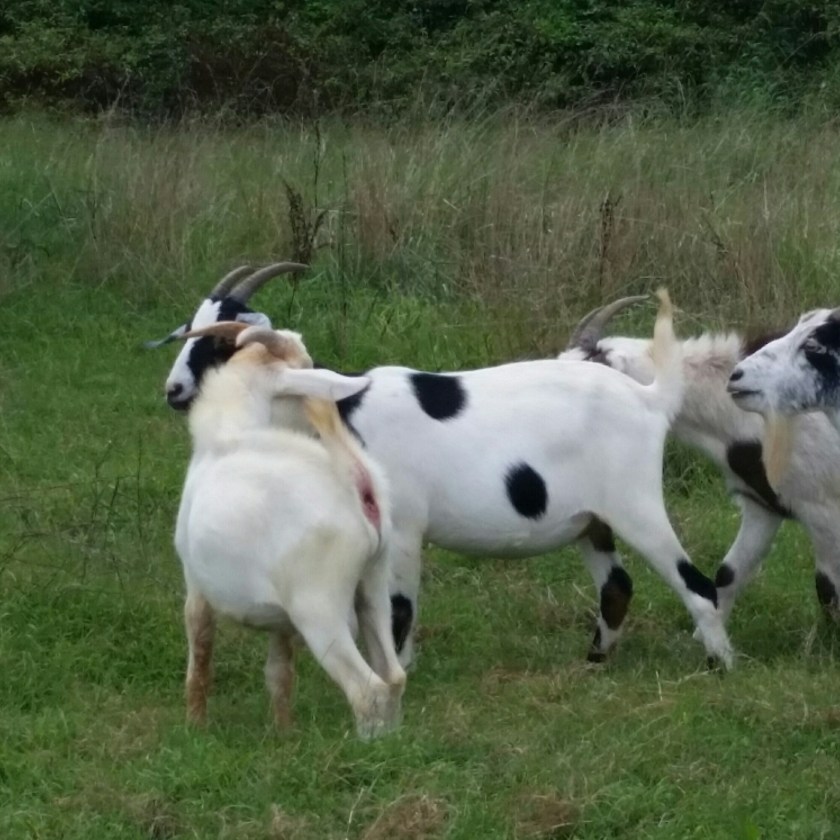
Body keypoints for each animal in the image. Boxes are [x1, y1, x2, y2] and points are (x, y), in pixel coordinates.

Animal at [152, 268, 734, 670]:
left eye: (219, 342)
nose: (174, 391)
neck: (341, 408)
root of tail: (650, 398)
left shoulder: (404, 528)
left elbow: (398, 607)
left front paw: (401, 669)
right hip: (592, 520)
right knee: (617, 585)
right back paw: (595, 662)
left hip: (635, 503)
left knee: (696, 583)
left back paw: (718, 665)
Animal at [174, 321, 405, 738]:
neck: (231, 433)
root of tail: (357, 483)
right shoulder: (280, 619)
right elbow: (280, 675)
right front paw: (283, 734)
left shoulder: (195, 584)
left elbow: (200, 658)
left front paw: (194, 727)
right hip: (374, 584)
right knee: (393, 676)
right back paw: (392, 741)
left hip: (320, 608)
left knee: (367, 688)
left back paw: (365, 744)